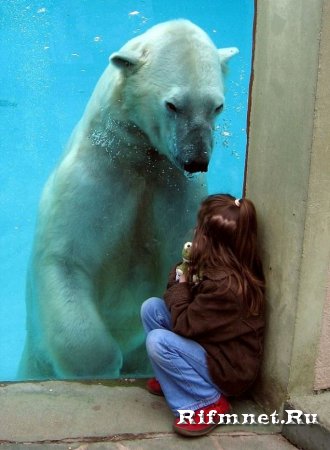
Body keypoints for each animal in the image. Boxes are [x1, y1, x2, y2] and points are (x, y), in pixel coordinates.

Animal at [18, 21, 238, 380]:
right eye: (172, 105)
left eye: (216, 106)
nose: (197, 160)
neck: (138, 156)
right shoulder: (94, 179)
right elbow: (66, 258)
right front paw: (102, 367)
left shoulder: (176, 189)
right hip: (33, 360)